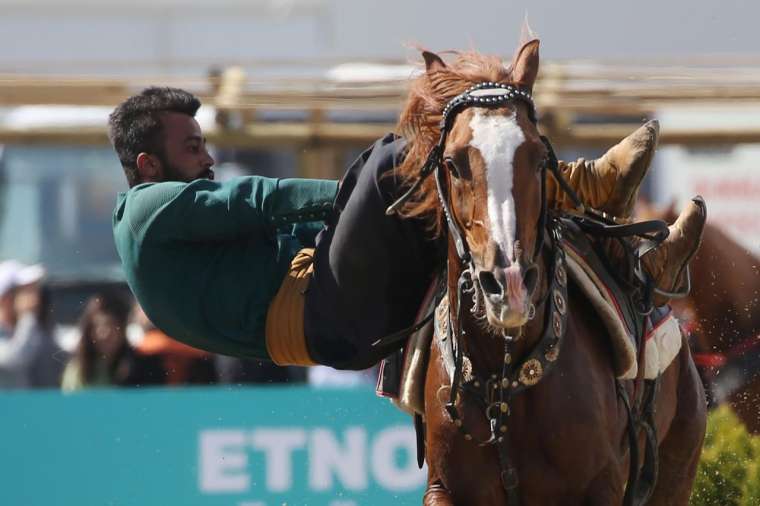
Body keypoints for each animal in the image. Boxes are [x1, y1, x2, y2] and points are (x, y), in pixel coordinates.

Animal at [392, 36, 708, 506]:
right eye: (452, 163)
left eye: (540, 159)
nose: (510, 285)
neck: (502, 381)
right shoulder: (445, 488)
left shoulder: (600, 487)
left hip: (677, 468)